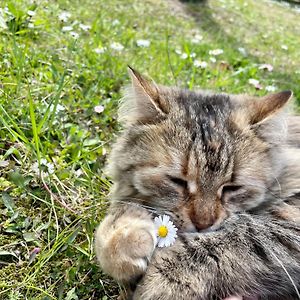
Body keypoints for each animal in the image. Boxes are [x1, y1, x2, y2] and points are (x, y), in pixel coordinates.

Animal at [94, 68, 300, 300]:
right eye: (178, 181)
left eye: (232, 187)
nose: (203, 224)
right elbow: (113, 223)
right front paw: (124, 241)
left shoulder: (285, 224)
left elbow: (228, 239)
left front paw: (159, 284)